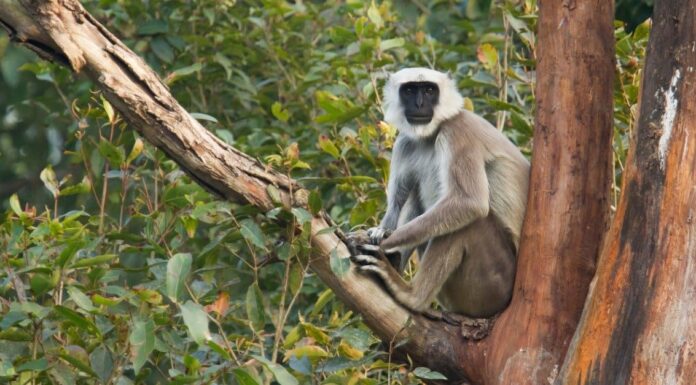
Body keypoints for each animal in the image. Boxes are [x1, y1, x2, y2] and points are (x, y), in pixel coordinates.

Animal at [350, 67, 532, 318]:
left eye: (429, 90)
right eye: (409, 90)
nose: (419, 104)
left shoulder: (457, 131)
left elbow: (470, 203)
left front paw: (381, 241)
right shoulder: (405, 141)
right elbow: (398, 200)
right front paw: (381, 231)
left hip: (494, 285)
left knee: (468, 223)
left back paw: (411, 295)